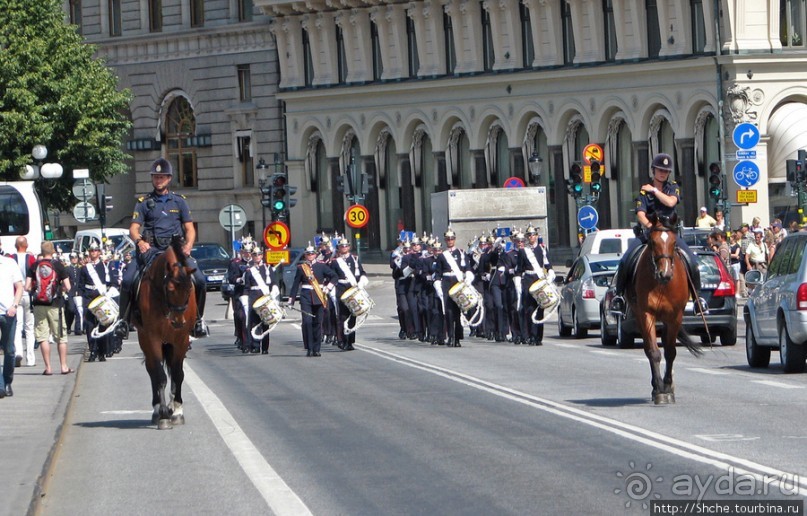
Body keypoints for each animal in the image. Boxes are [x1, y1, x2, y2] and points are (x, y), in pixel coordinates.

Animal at [136, 236, 197, 430]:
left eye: (189, 289)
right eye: (170, 289)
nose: (178, 322)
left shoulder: (181, 339)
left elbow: (178, 374)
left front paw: (176, 410)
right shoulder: (153, 338)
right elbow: (160, 376)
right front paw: (163, 414)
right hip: (145, 340)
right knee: (152, 371)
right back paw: (157, 410)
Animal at [632, 214, 700, 404]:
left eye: (674, 242)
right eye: (652, 242)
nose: (666, 274)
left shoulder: (675, 316)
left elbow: (670, 352)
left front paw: (668, 387)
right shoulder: (646, 313)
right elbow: (654, 352)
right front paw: (659, 390)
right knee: (648, 348)